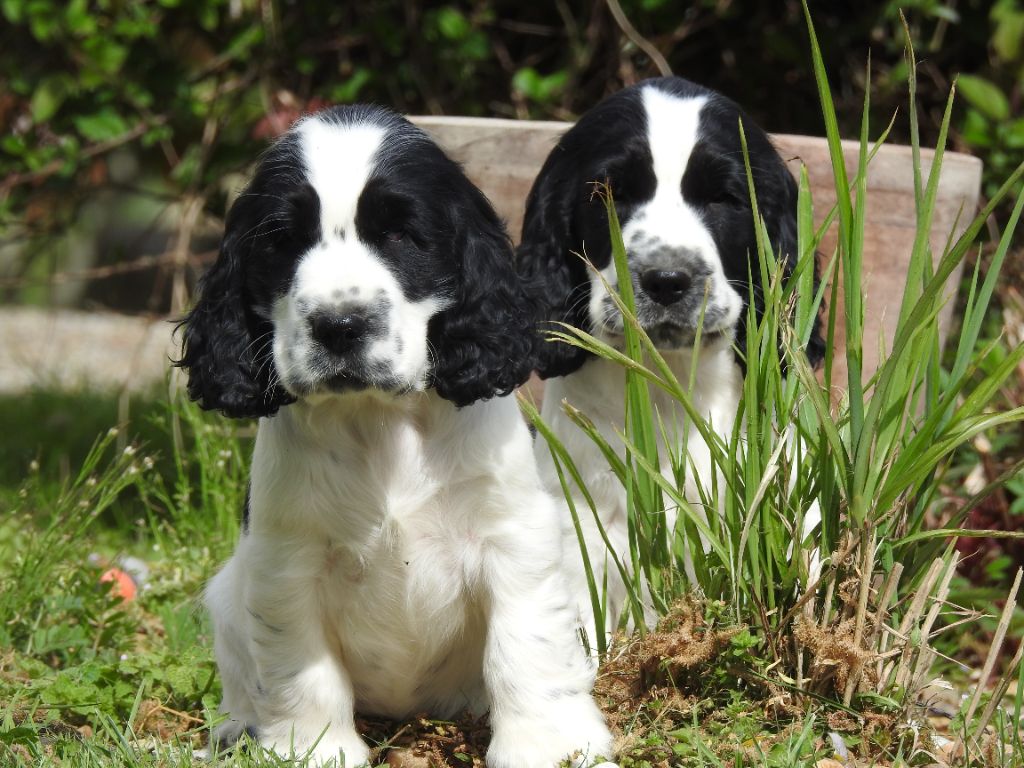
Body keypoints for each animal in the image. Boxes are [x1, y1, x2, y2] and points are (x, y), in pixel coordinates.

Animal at [176, 103, 610, 768]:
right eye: (282, 241)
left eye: (402, 235)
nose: (340, 324)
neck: (381, 419)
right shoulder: (287, 557)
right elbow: (302, 668)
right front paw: (314, 749)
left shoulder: (514, 536)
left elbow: (527, 645)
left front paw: (548, 745)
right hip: (229, 592)